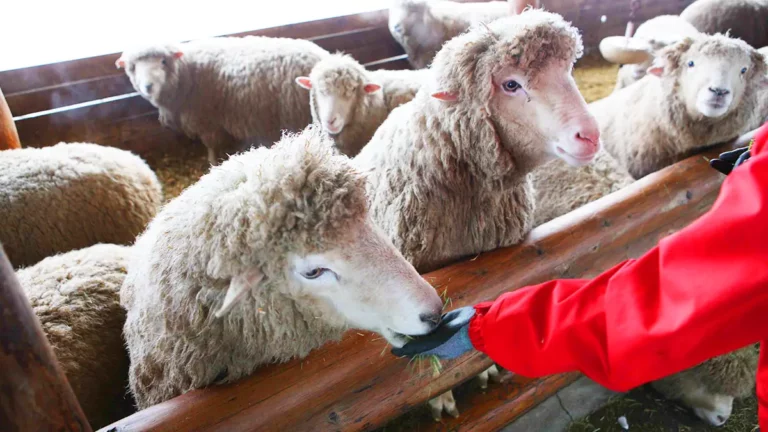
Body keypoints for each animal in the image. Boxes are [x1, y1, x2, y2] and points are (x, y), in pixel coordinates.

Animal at [116, 36, 329, 164]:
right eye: (133, 67)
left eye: (163, 61)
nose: (148, 86)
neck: (187, 71)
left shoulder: (206, 121)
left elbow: (211, 146)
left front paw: (212, 163)